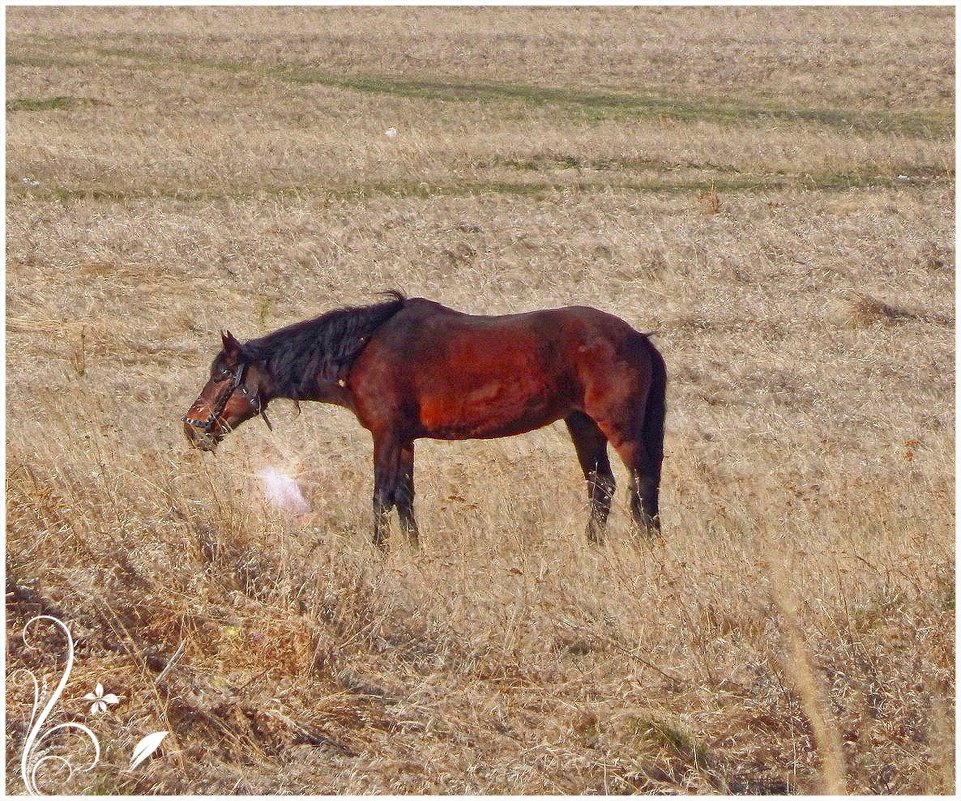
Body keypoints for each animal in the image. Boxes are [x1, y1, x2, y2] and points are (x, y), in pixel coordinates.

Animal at [186, 290, 668, 548]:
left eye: (221, 374)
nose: (193, 426)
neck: (362, 350)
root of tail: (637, 337)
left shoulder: (385, 434)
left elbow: (381, 495)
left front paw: (379, 553)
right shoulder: (405, 438)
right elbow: (405, 496)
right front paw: (414, 551)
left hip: (618, 428)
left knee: (641, 483)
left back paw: (649, 544)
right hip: (581, 424)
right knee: (601, 486)